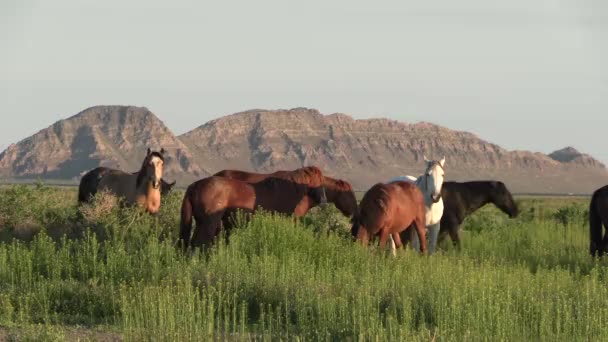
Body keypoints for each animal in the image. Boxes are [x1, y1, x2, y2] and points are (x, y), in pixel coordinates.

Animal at [180, 175, 328, 250]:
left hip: (200, 223)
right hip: (208, 223)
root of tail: (194, 185)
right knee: (200, 243)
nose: (324, 200)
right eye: (318, 183)